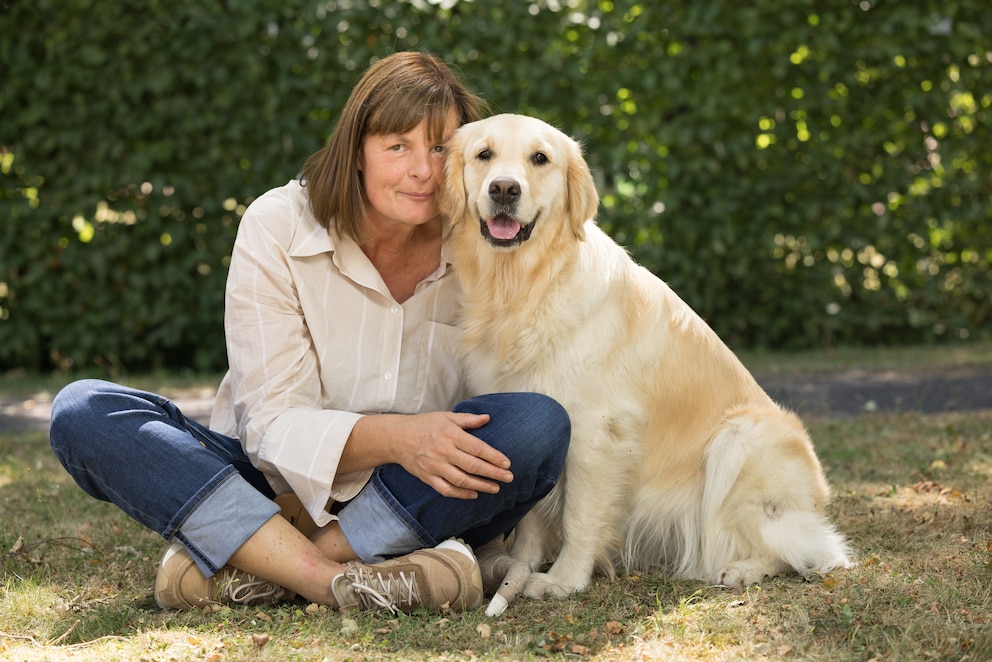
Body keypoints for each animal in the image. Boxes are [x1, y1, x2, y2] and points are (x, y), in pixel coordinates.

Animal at [442, 114, 852, 600]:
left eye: (539, 158)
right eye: (484, 155)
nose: (504, 189)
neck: (527, 286)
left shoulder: (595, 430)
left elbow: (579, 515)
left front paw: (563, 580)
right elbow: (531, 519)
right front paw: (519, 569)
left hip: (740, 438)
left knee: (808, 550)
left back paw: (744, 569)